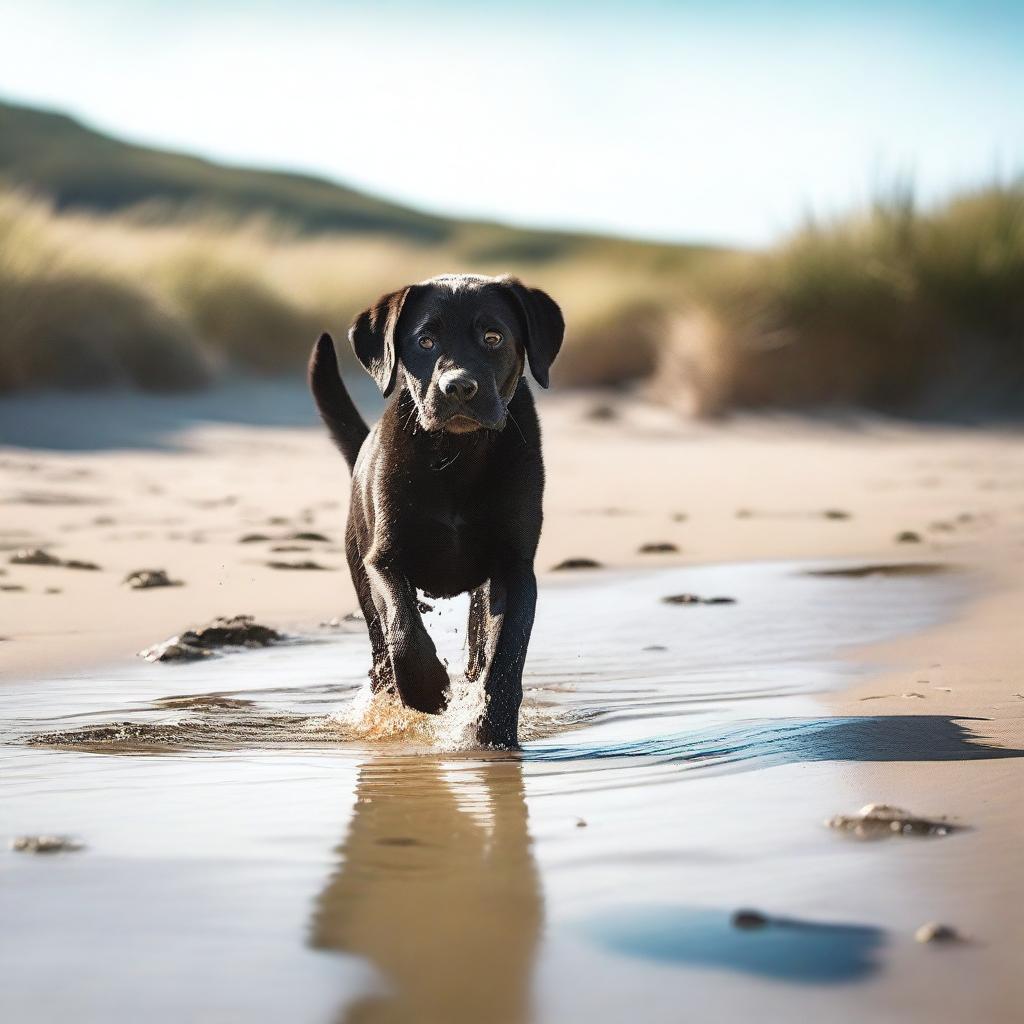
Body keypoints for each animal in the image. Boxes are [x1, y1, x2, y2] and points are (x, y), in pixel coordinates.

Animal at [307, 276, 565, 749]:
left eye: (493, 337)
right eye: (425, 341)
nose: (458, 387)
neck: (456, 455)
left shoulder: (515, 567)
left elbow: (507, 651)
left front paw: (494, 729)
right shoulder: (384, 560)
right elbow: (403, 626)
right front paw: (428, 691)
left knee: (478, 649)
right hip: (361, 579)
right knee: (382, 656)